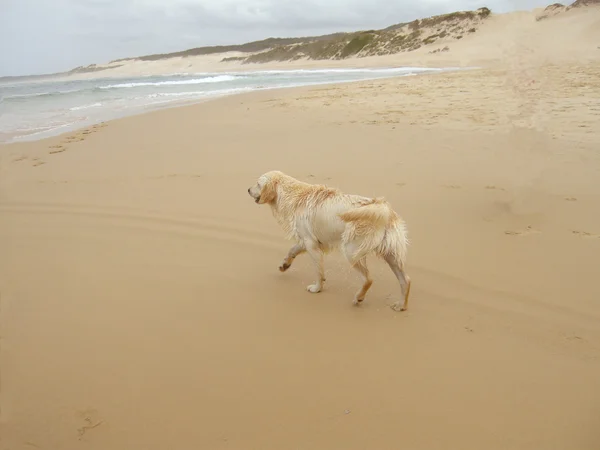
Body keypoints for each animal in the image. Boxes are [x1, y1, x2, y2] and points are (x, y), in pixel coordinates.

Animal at [246, 171, 410, 312]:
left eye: (258, 184)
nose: (247, 189)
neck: (293, 195)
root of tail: (384, 209)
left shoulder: (311, 244)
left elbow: (319, 271)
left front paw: (317, 288)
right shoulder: (306, 239)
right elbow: (292, 250)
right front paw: (284, 265)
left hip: (351, 251)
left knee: (368, 278)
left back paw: (358, 298)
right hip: (391, 254)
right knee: (406, 280)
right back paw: (401, 305)